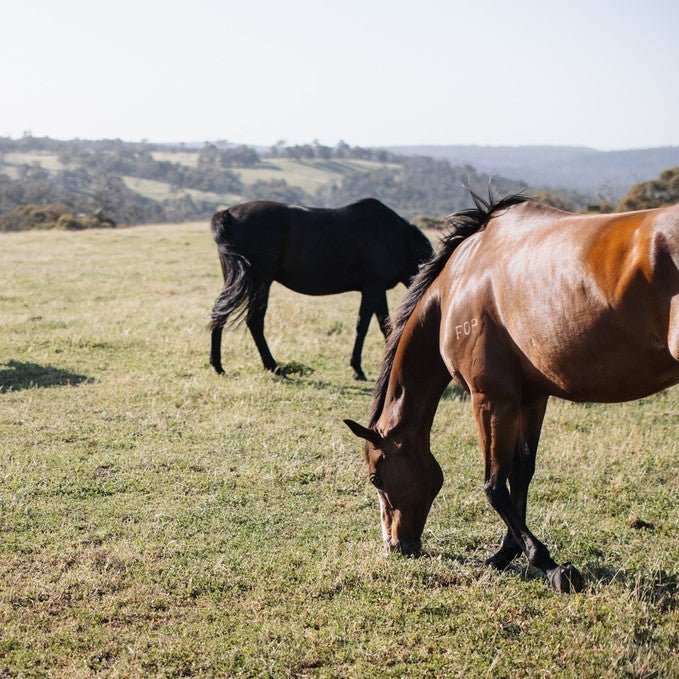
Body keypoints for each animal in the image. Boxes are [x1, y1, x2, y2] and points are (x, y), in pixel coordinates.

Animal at [209, 197, 430, 380]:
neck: (399, 239)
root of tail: (227, 213)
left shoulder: (378, 290)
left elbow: (386, 326)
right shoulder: (372, 287)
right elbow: (364, 327)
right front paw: (358, 370)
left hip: (237, 279)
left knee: (221, 313)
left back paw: (219, 366)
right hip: (261, 281)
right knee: (253, 321)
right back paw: (273, 367)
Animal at [346, 191, 679, 588]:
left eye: (375, 477)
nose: (396, 545)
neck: (458, 281)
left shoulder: (490, 399)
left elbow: (494, 484)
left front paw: (549, 565)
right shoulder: (531, 398)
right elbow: (520, 475)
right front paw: (508, 554)